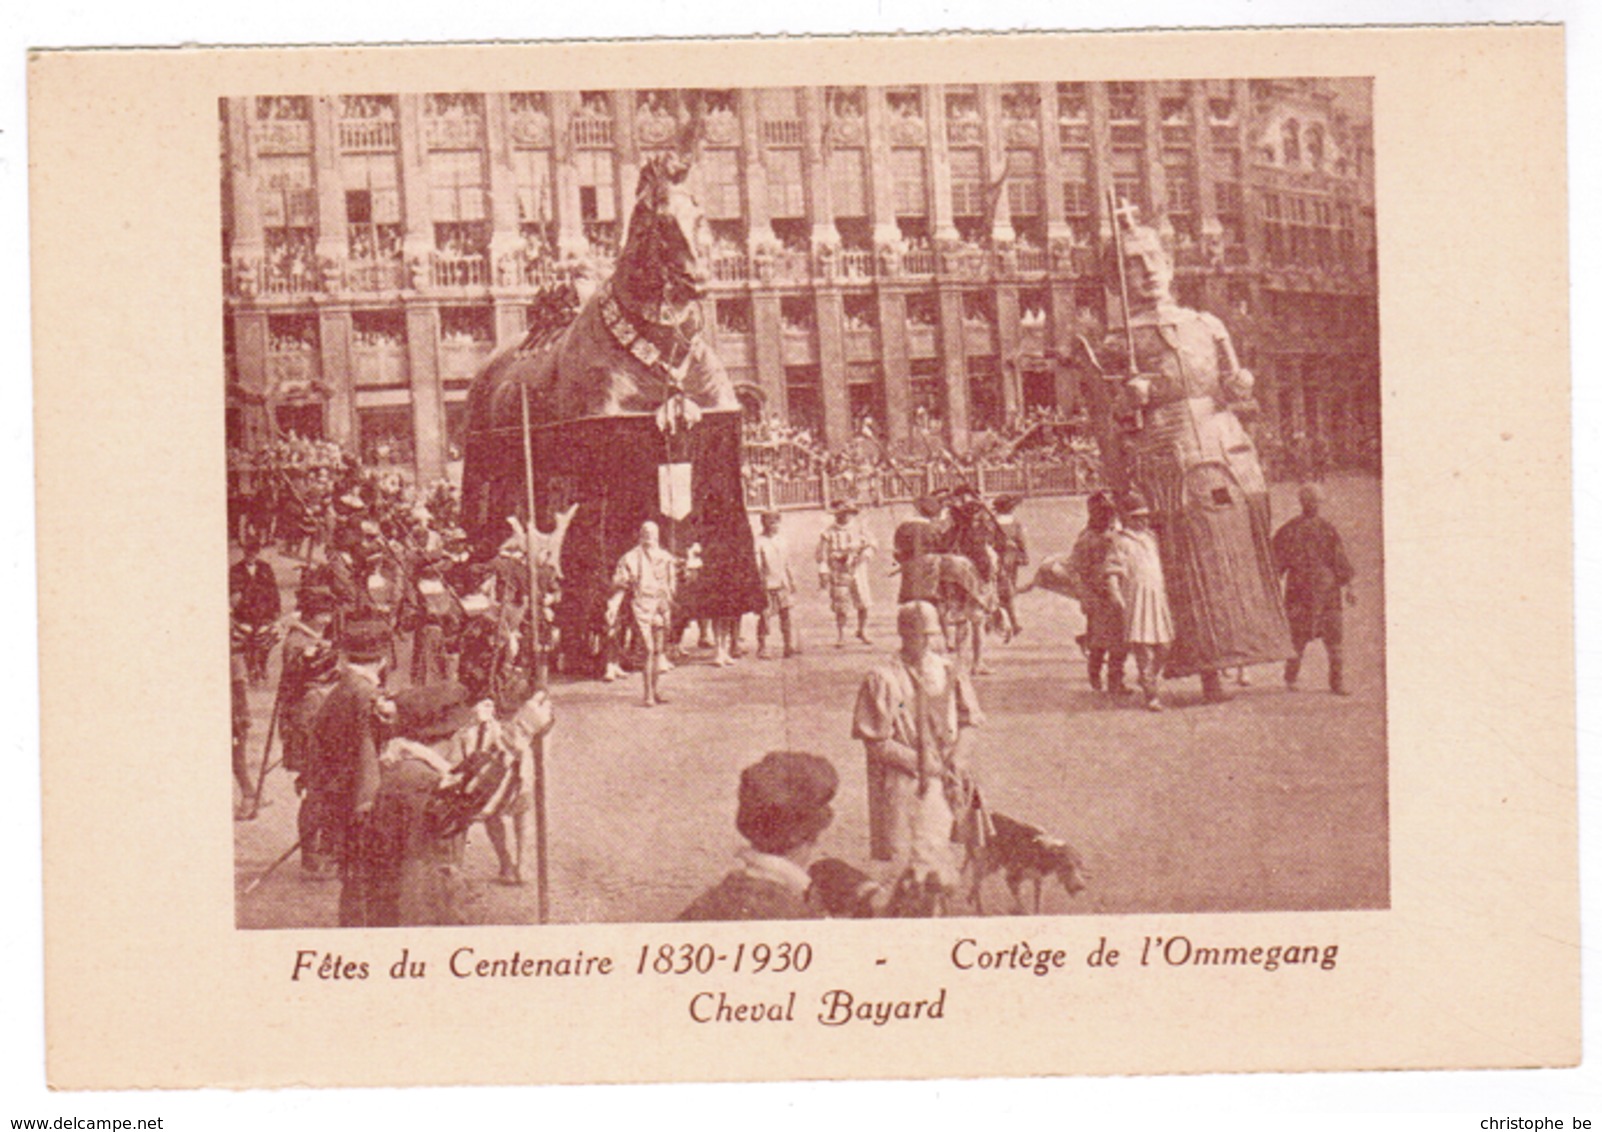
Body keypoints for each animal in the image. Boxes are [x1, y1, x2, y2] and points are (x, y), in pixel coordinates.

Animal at [961, 810, 1089, 915]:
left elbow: (1037, 902)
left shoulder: (1037, 879)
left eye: (1079, 865)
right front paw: (1019, 910)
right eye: (1068, 866)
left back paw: (970, 899)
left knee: (975, 882)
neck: (1039, 849)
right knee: (976, 882)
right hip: (987, 863)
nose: (1081, 886)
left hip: (990, 865)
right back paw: (979, 909)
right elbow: (1022, 905)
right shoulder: (1011, 878)